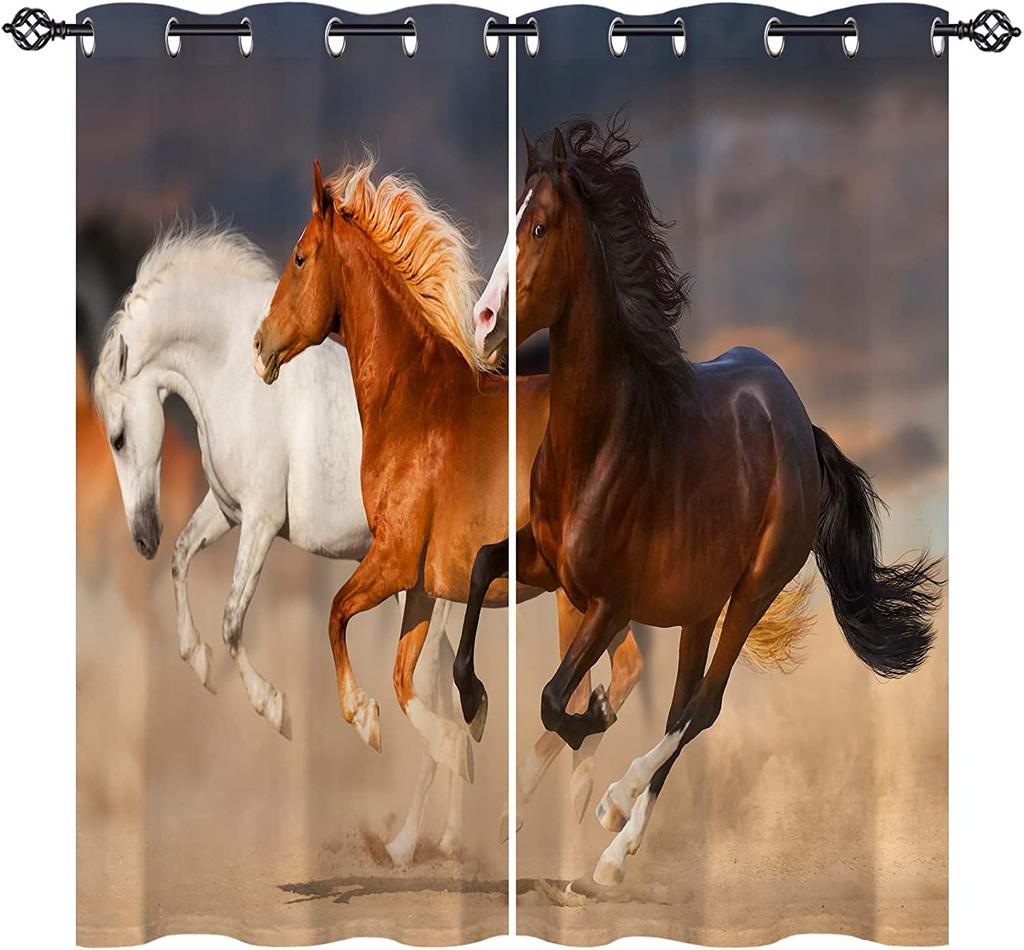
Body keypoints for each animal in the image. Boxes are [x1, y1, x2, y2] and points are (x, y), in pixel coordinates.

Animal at [91, 226, 468, 864]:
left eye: (117, 437)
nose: (141, 537)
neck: (230, 371)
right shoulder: (227, 511)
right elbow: (182, 563)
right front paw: (199, 663)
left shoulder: (262, 522)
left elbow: (232, 620)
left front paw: (275, 709)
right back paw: (444, 839)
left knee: (432, 704)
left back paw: (404, 844)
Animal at [458, 118, 942, 885]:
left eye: (538, 226)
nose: (483, 324)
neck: (603, 442)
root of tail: (798, 424)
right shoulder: (547, 562)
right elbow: (480, 566)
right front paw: (476, 706)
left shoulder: (612, 601)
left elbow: (554, 700)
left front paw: (593, 730)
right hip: (698, 607)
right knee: (685, 705)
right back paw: (612, 858)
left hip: (750, 592)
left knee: (703, 707)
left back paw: (617, 819)